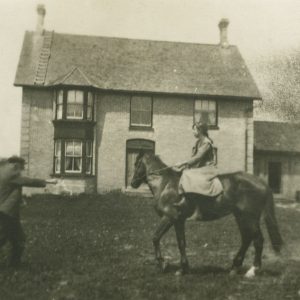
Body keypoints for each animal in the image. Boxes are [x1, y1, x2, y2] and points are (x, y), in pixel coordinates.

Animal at [130, 154, 282, 278]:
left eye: (137, 164)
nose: (133, 183)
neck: (165, 184)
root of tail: (261, 182)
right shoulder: (178, 220)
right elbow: (181, 243)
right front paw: (183, 269)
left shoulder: (169, 217)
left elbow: (155, 238)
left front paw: (162, 264)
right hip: (241, 217)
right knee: (247, 238)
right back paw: (234, 267)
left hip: (249, 218)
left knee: (258, 240)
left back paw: (252, 270)